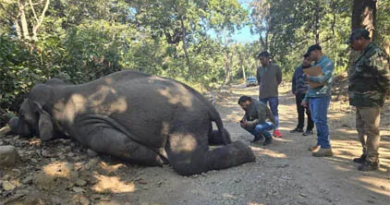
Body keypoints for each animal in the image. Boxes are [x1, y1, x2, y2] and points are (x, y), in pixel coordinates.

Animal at [8, 71, 256, 175]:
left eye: (22, 116)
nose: (9, 122)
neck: (62, 92)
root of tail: (205, 101)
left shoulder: (86, 121)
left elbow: (104, 140)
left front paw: (159, 160)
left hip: (186, 117)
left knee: (187, 163)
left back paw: (248, 153)